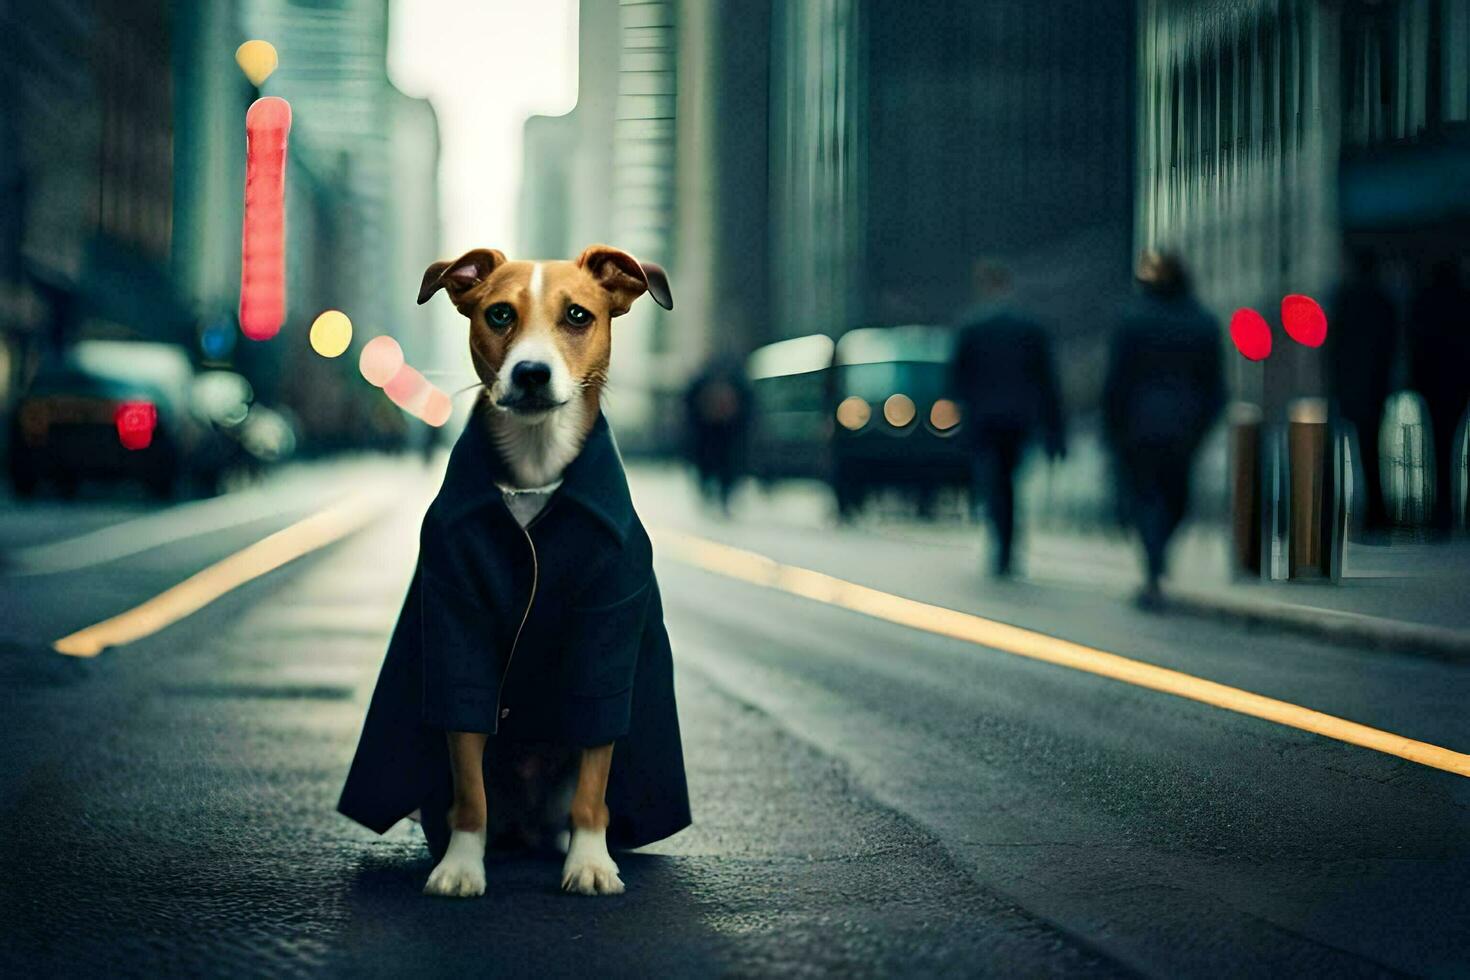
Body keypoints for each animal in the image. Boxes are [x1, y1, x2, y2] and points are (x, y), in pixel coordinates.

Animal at [411, 243, 670, 899]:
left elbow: (593, 774)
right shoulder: (458, 624)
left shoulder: (605, 631)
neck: (534, 466)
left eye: (578, 315)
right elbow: (469, 781)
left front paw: (590, 862)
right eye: (499, 314)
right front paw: (461, 865)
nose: (531, 373)